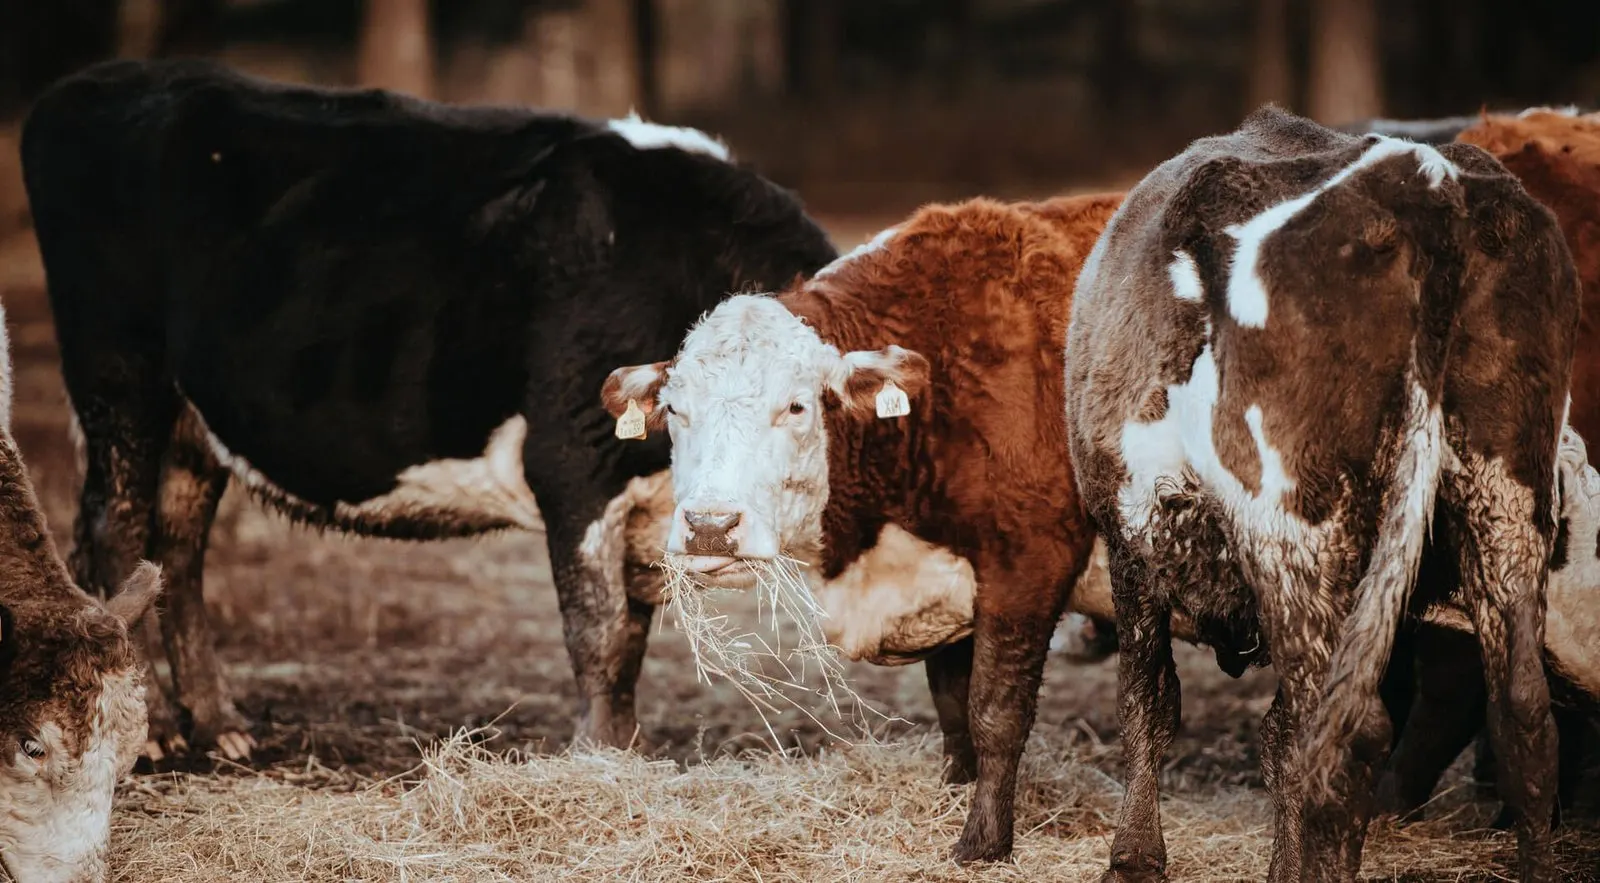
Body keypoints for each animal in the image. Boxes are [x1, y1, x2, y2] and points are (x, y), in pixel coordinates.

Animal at [20, 58, 838, 762]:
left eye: (798, 408)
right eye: (682, 407)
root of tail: (94, 82)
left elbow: (631, 633)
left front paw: (626, 749)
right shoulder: (574, 460)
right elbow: (600, 633)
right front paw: (602, 755)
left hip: (195, 415)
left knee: (177, 546)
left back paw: (219, 724)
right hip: (119, 373)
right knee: (115, 529)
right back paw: (154, 730)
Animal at [601, 193, 1122, 863]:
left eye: (797, 406)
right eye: (673, 409)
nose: (710, 525)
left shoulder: (1030, 561)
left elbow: (996, 711)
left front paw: (983, 841)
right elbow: (955, 708)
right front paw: (954, 794)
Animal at [1065, 104, 1578, 882]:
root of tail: (1426, 184)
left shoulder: (1133, 538)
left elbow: (1149, 701)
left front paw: (1134, 857)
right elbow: (1274, 737)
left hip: (1293, 528)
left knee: (1348, 732)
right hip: (1507, 499)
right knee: (1523, 718)